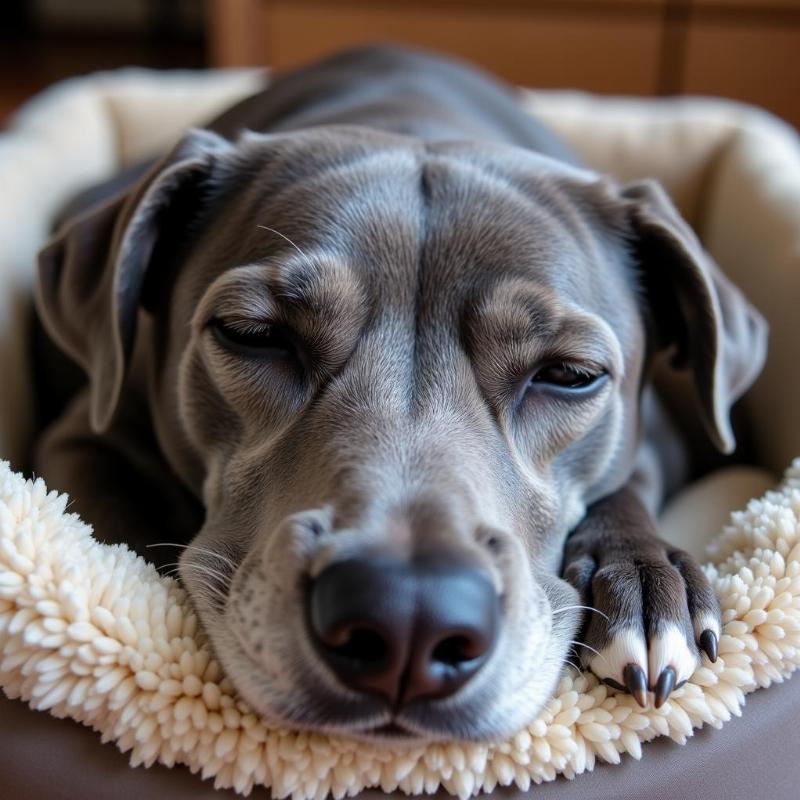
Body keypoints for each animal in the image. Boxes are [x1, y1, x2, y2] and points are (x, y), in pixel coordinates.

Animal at [32, 45, 768, 744]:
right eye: (253, 334)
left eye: (569, 373)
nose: (408, 619)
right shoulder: (82, 439)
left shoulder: (661, 435)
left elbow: (627, 484)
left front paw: (645, 579)